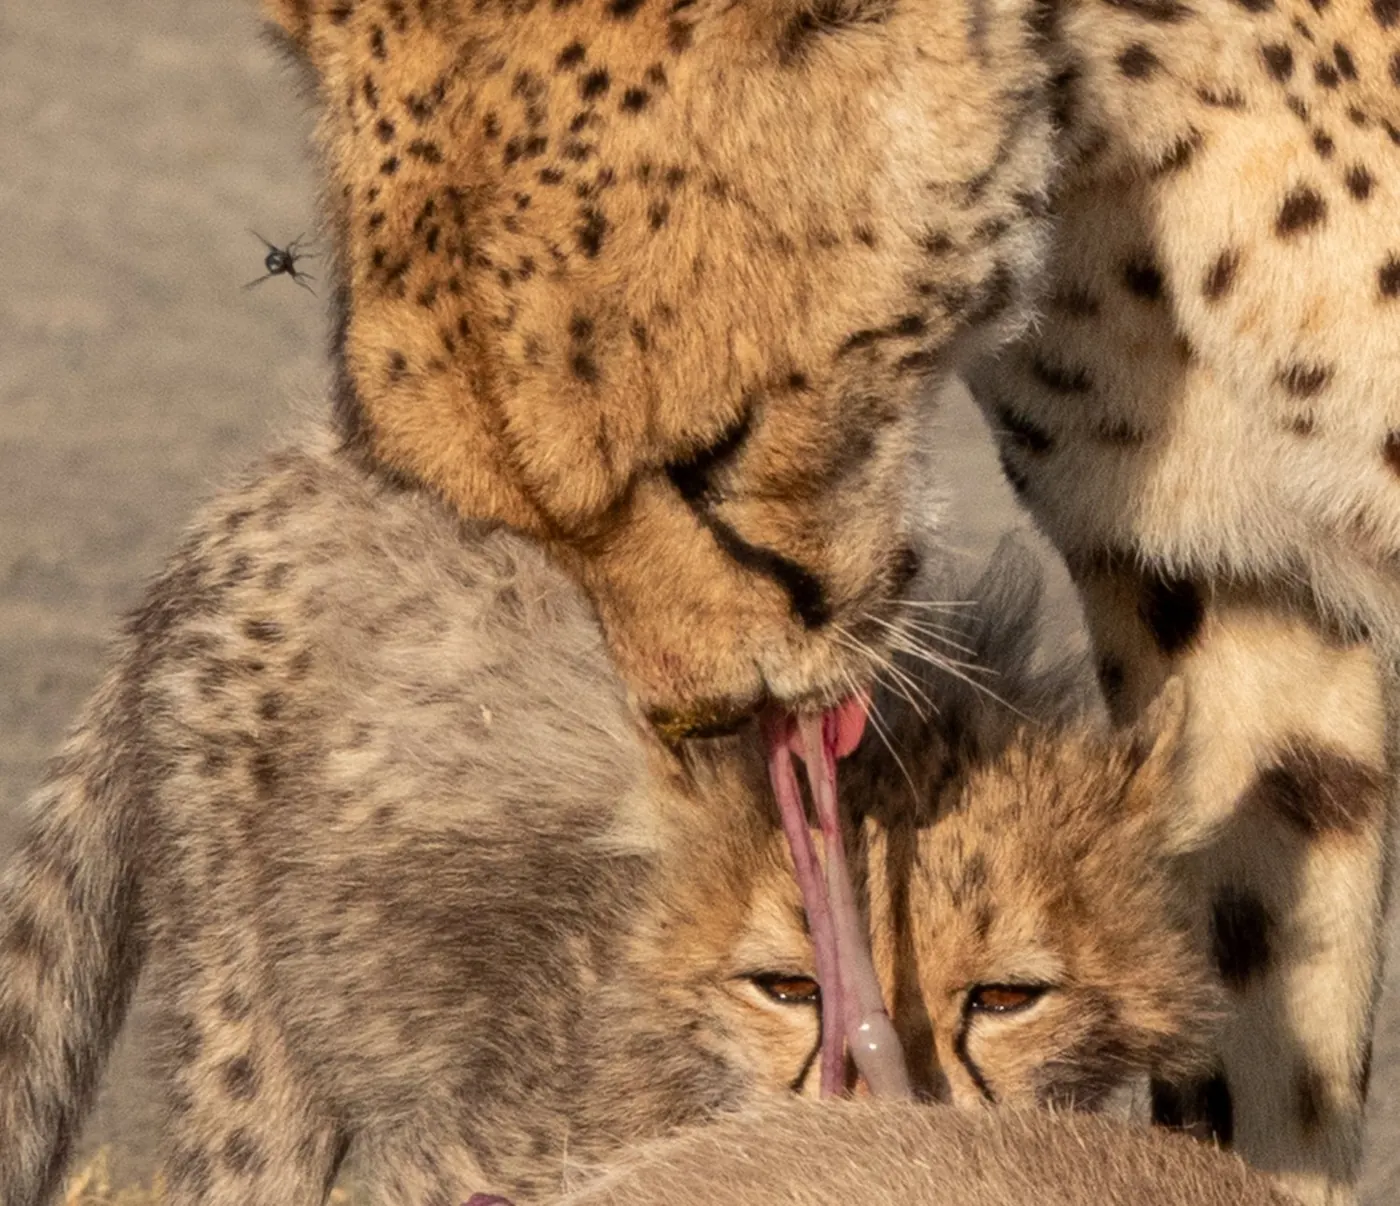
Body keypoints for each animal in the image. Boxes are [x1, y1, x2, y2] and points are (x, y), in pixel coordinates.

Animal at [0, 451, 1213, 1206]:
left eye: (1007, 999)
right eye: (785, 988)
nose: (880, 1123)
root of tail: (289, 472)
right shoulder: (472, 1158)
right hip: (251, 1043)